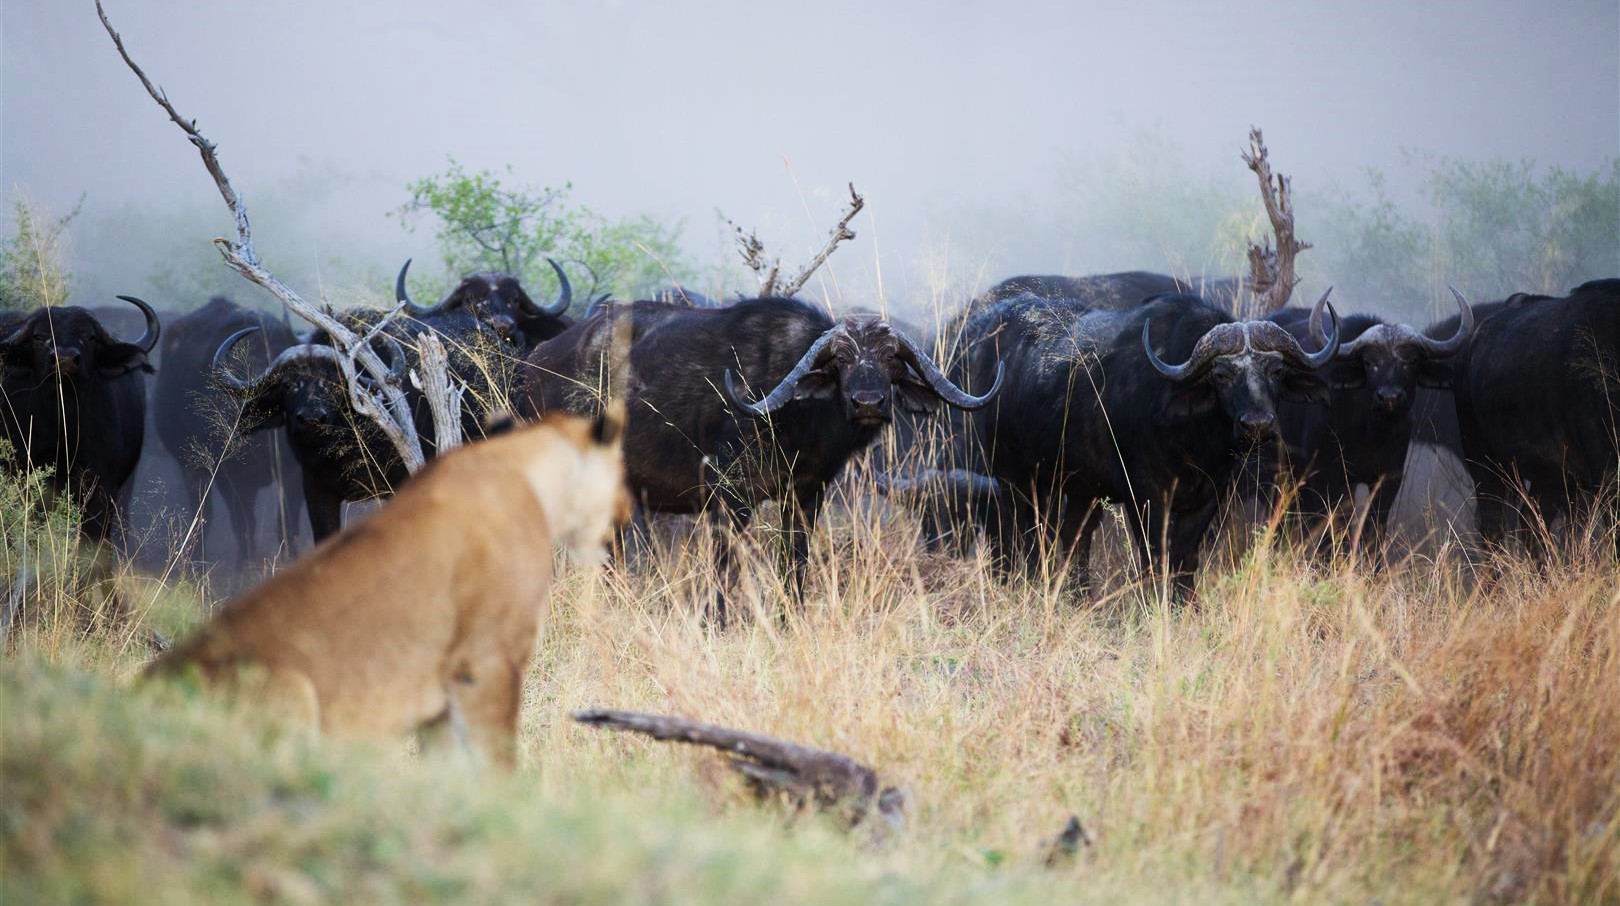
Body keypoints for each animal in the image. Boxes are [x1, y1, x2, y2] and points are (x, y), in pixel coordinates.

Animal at [518, 298, 997, 622]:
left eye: (892, 359)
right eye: (841, 360)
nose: (868, 402)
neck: (798, 418)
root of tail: (538, 360)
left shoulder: (806, 496)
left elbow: (796, 561)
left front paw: (791, 619)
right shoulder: (729, 498)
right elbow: (723, 567)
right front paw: (716, 622)